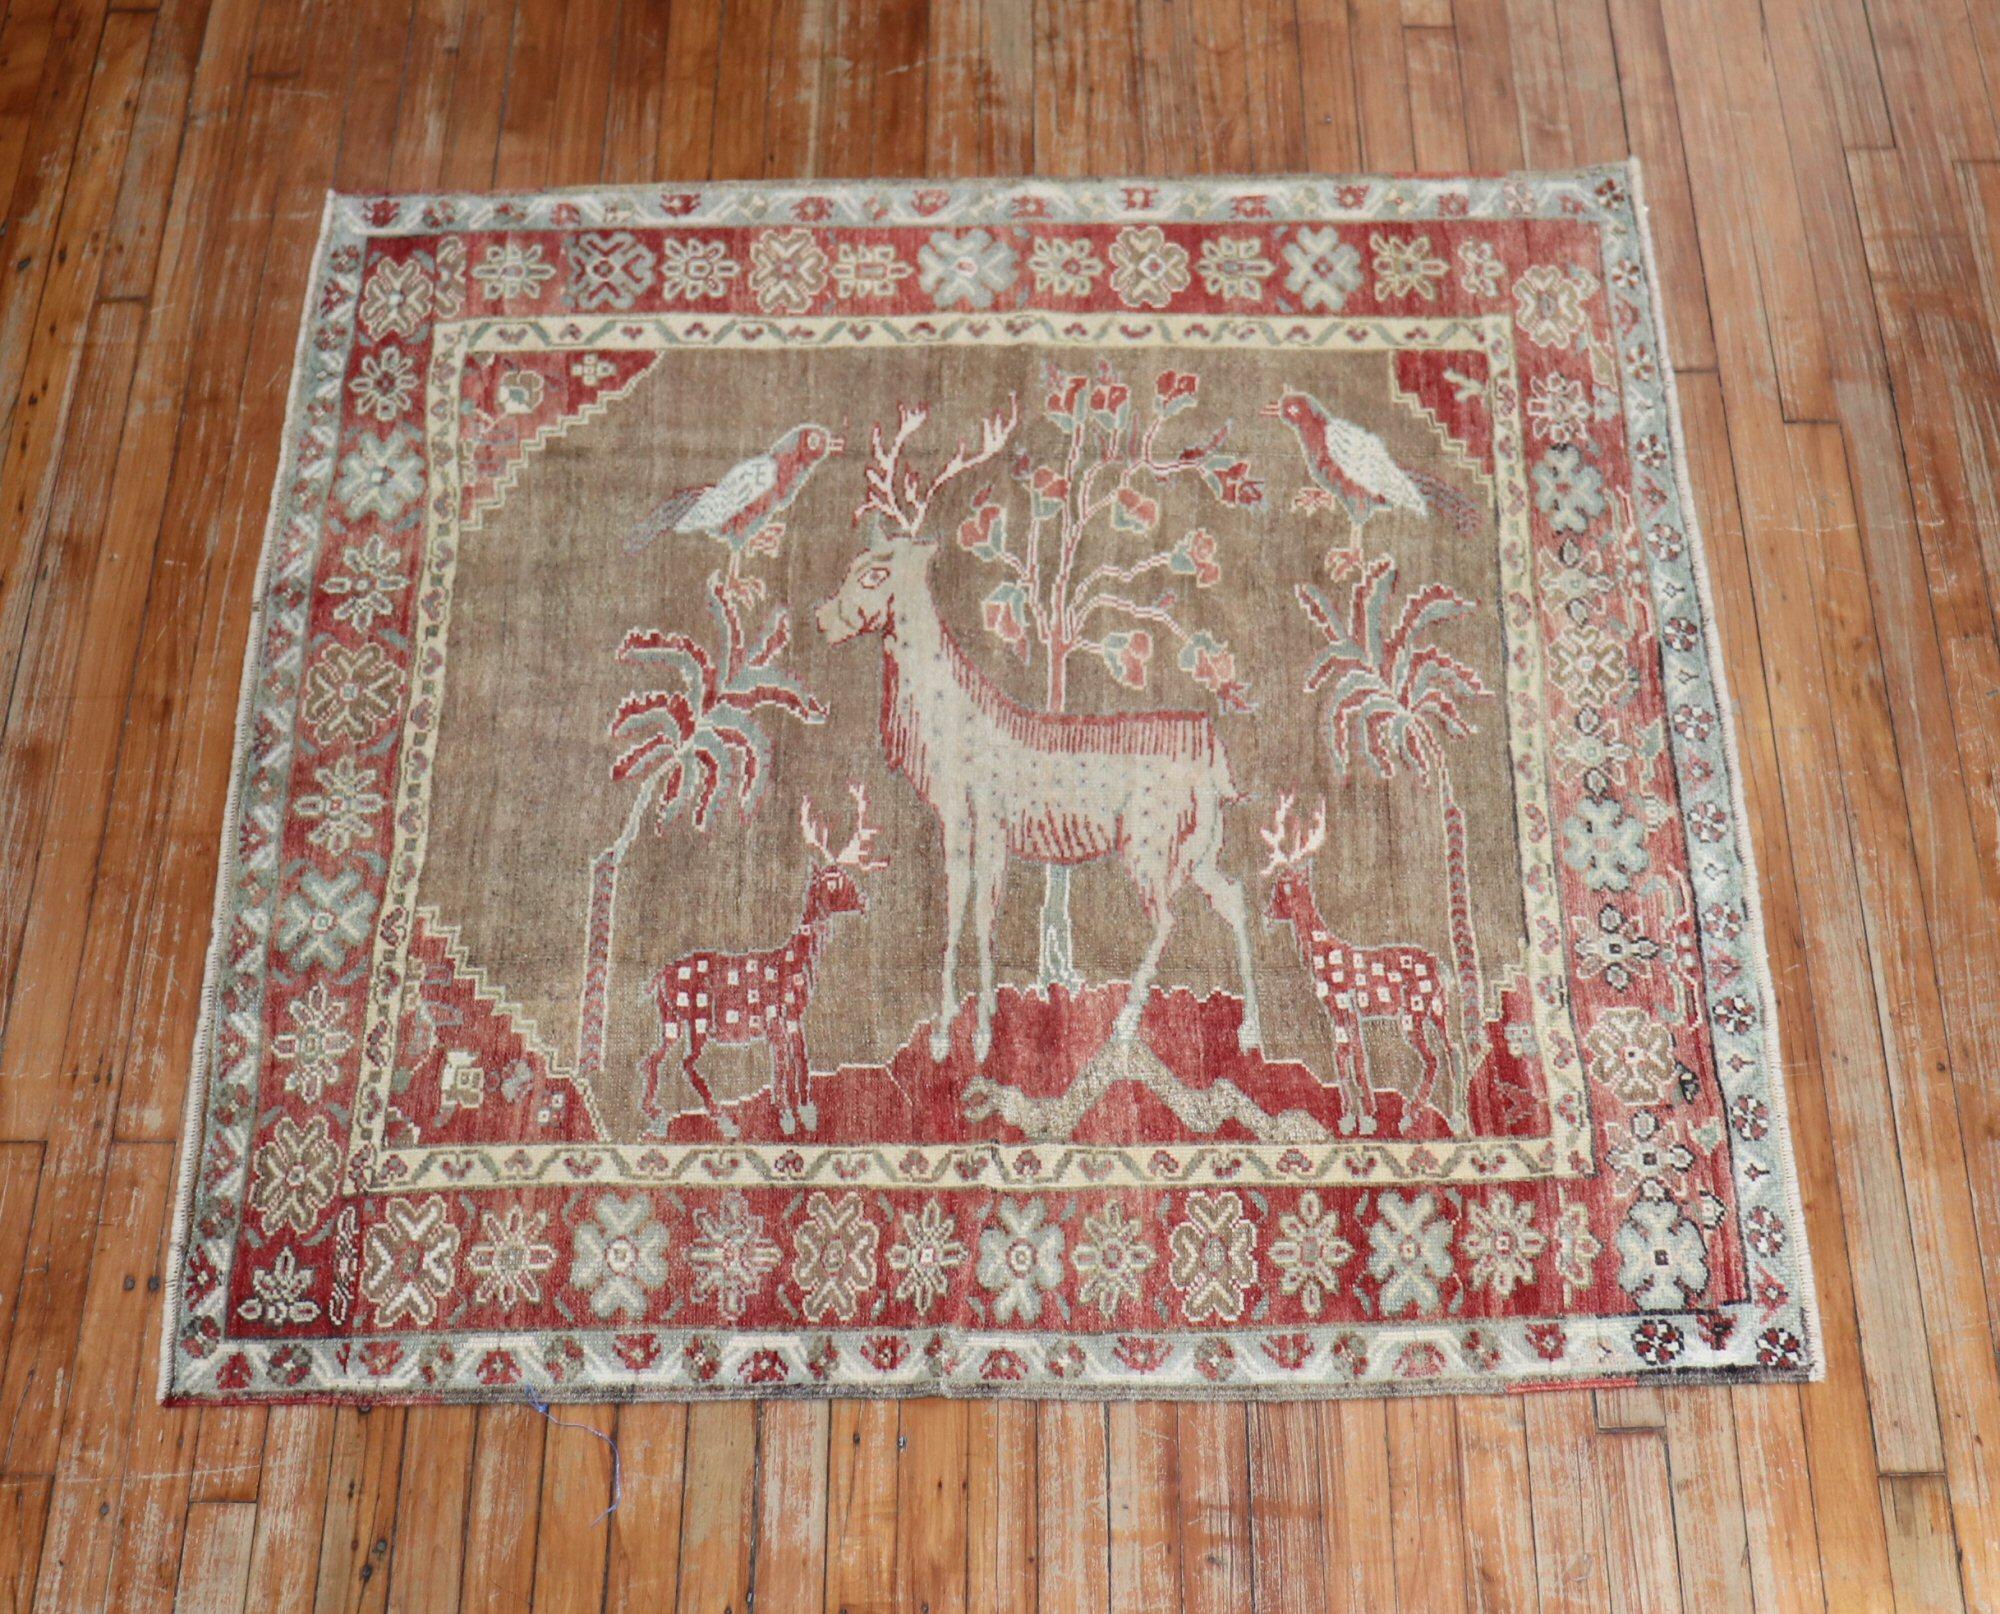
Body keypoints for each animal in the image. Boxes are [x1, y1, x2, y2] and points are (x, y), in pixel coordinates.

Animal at [640, 784, 892, 1136]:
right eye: (833, 880)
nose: (866, 902)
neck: (791, 965)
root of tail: (658, 977)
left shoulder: (793, 1019)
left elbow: (799, 1061)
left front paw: (806, 1113)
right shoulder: (775, 1018)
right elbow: (783, 1065)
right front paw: (786, 1117)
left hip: (670, 1021)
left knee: (651, 1059)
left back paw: (658, 1117)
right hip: (697, 1021)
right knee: (685, 1063)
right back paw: (724, 1122)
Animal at [816, 400, 1264, 1064]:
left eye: (875, 574)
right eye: (851, 565)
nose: (823, 619)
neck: (948, 728)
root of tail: (1213, 754)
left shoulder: (990, 820)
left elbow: (982, 915)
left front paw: (981, 1035)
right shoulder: (955, 821)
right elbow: (953, 912)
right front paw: (947, 1033)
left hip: (1149, 838)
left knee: (1167, 918)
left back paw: (1124, 1027)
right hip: (1203, 842)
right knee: (1233, 897)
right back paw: (1253, 1029)